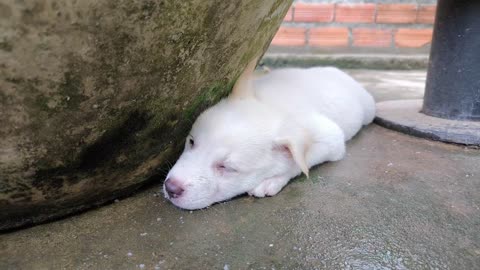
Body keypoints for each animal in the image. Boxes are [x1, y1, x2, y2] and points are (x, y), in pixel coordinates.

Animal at [163, 56, 376, 209]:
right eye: (191, 142)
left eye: (227, 168)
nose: (170, 188)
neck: (273, 105)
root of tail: (336, 70)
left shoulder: (331, 138)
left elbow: (301, 161)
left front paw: (272, 180)